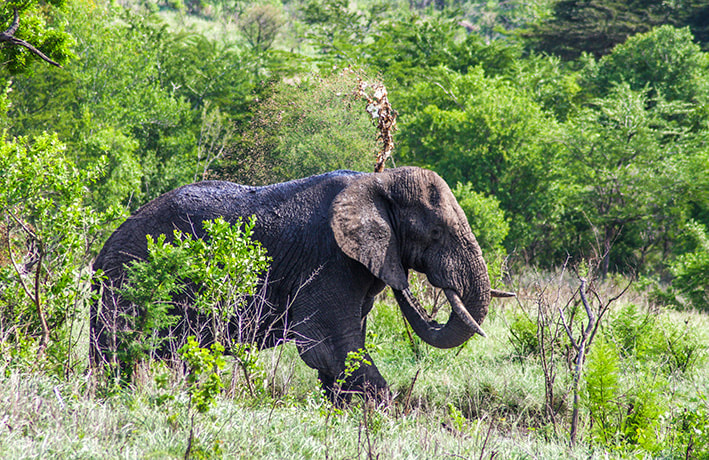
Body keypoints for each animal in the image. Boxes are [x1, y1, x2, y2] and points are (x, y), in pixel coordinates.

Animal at [90, 166, 513, 398]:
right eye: (437, 233)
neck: (376, 182)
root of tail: (103, 248)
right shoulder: (330, 260)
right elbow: (331, 346)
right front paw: (384, 414)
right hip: (126, 280)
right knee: (120, 350)